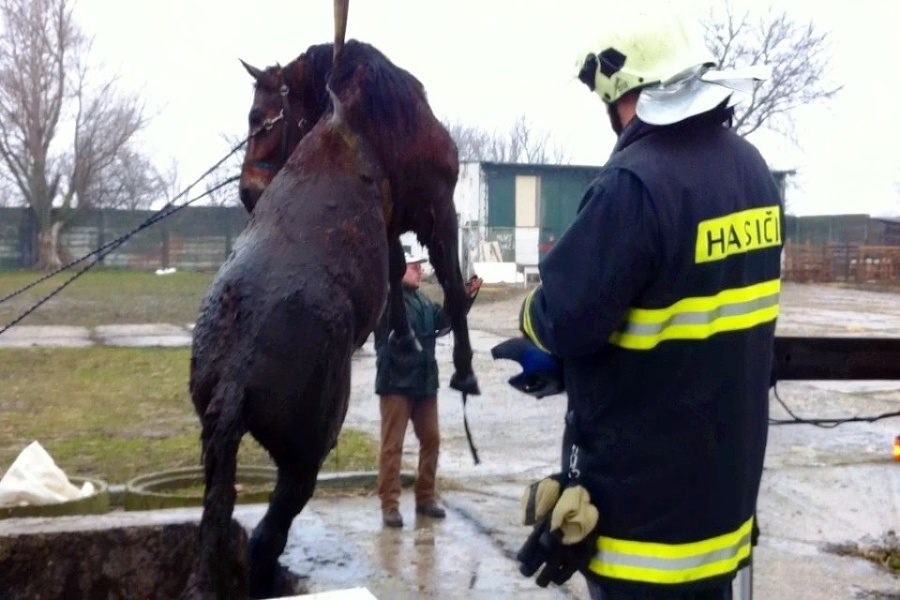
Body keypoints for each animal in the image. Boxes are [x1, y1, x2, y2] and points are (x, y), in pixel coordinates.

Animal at [236, 38, 482, 398]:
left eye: (257, 118)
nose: (247, 193)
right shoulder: (387, 222)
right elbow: (396, 270)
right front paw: (404, 339)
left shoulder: (441, 214)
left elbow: (449, 277)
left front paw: (464, 367)